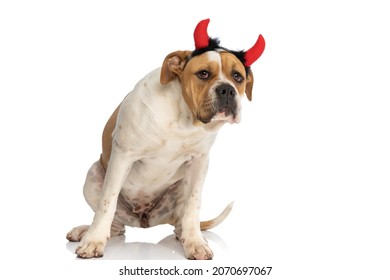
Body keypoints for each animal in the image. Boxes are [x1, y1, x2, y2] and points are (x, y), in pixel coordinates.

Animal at [67, 19, 266, 260]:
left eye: (237, 77)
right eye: (203, 74)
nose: (227, 90)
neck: (184, 116)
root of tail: (144, 220)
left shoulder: (199, 163)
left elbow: (193, 205)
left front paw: (195, 243)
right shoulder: (123, 155)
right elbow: (107, 203)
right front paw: (93, 241)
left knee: (180, 221)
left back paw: (190, 236)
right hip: (94, 174)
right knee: (114, 224)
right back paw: (85, 232)